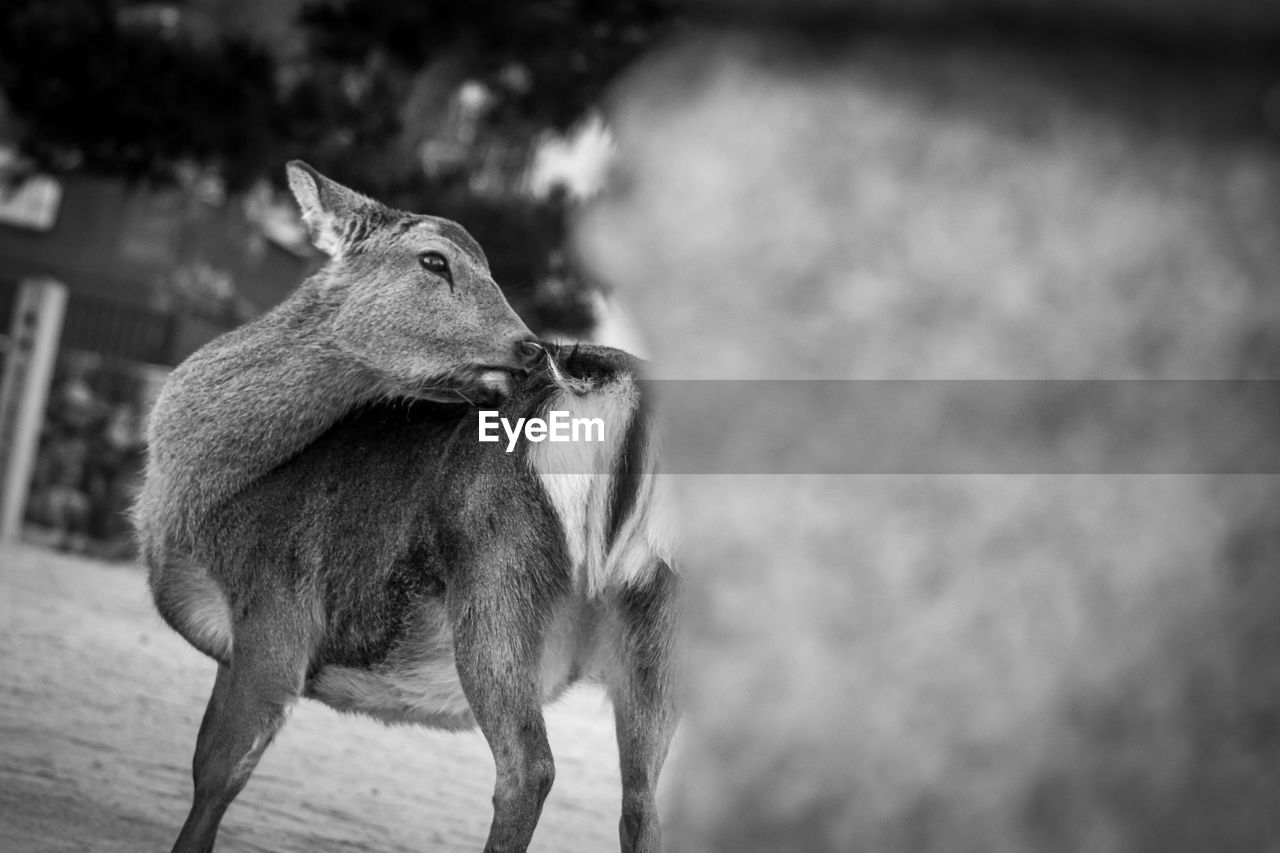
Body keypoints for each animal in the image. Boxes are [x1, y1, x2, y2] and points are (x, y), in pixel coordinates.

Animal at [132, 163, 680, 850]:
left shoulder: (274, 614)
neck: (205, 503)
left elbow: (215, 774)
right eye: (434, 260)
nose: (531, 348)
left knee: (529, 770)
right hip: (662, 615)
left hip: (497, 574)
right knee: (644, 804)